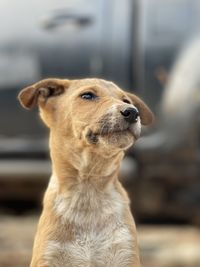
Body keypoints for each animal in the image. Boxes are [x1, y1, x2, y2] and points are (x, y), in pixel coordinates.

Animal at [18, 78, 153, 267]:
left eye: (126, 100)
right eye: (87, 95)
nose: (133, 112)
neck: (88, 189)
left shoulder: (126, 254)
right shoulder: (48, 256)